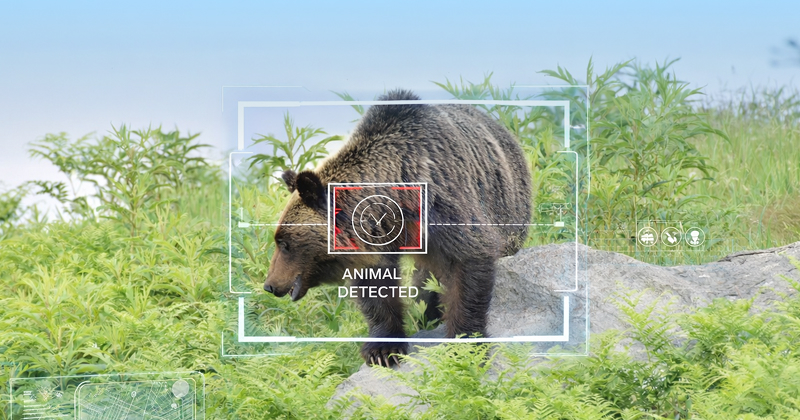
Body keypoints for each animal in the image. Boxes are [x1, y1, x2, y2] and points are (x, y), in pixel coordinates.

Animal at [264, 89, 532, 367]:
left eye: (284, 243)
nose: (269, 285)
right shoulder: (375, 243)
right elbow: (377, 287)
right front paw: (382, 349)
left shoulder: (444, 206)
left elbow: (469, 262)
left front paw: (464, 346)